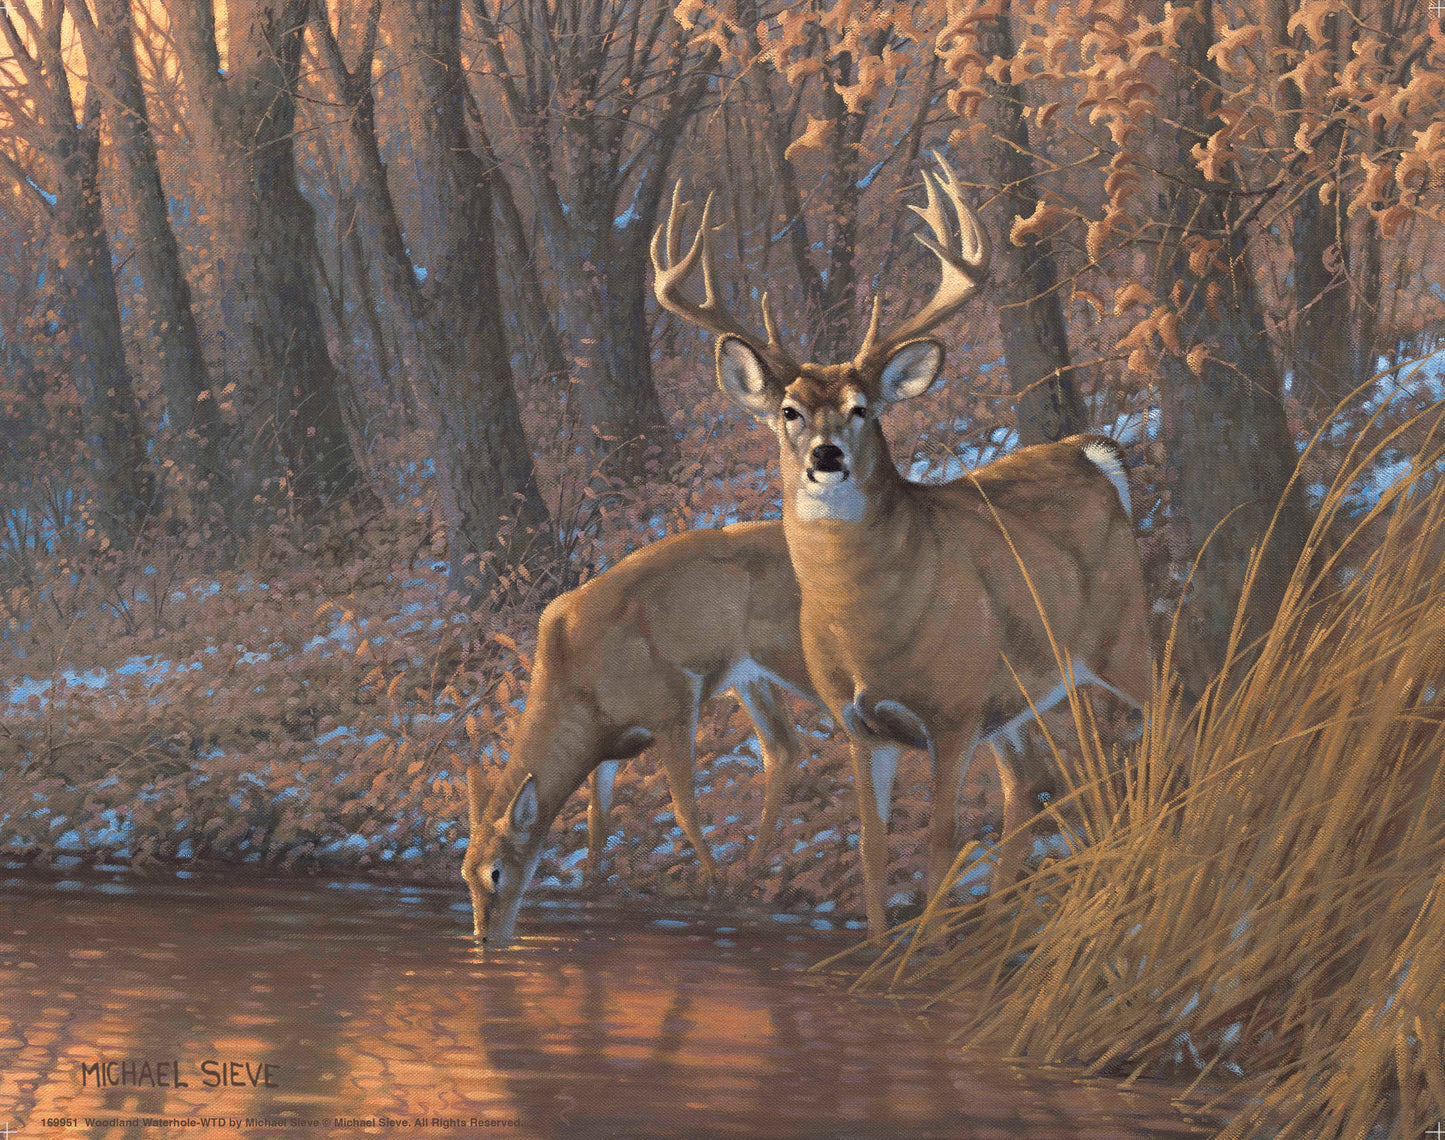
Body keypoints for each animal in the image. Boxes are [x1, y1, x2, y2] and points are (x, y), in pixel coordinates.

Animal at [464, 520, 823, 947]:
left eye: (496, 872)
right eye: (464, 875)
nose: (484, 938)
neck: (576, 684)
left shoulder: (673, 707)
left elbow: (685, 809)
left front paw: (715, 887)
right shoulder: (607, 752)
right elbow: (598, 822)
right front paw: (591, 890)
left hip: (794, 652)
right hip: (749, 676)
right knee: (784, 748)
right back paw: (750, 876)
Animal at [652, 156, 1155, 936]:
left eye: (863, 408)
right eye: (788, 410)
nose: (826, 456)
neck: (869, 625)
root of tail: (1090, 453)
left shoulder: (951, 711)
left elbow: (940, 844)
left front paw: (924, 947)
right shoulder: (861, 723)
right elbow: (871, 846)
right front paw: (885, 948)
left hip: (1117, 635)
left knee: (1170, 716)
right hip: (1014, 693)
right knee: (1031, 781)